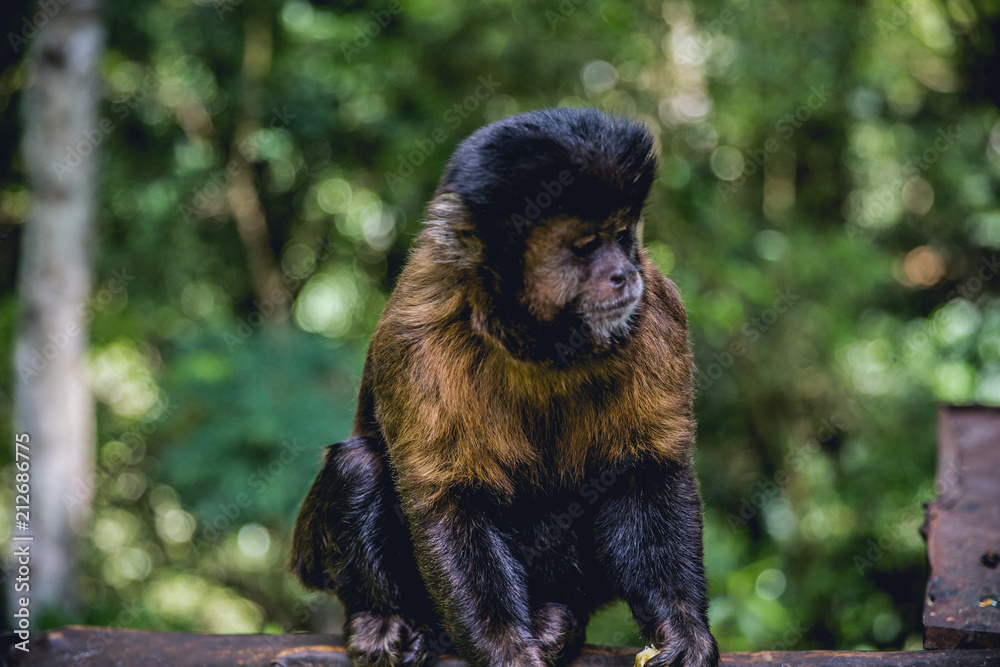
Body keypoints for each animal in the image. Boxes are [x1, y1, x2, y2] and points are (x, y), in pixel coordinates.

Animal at [291, 107, 719, 667]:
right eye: (587, 247)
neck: (539, 345)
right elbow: (449, 499)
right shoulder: (418, 345)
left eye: (622, 236)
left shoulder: (658, 314)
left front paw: (683, 629)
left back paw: (558, 615)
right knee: (358, 467)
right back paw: (381, 618)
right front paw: (505, 649)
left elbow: (645, 473)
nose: (624, 274)